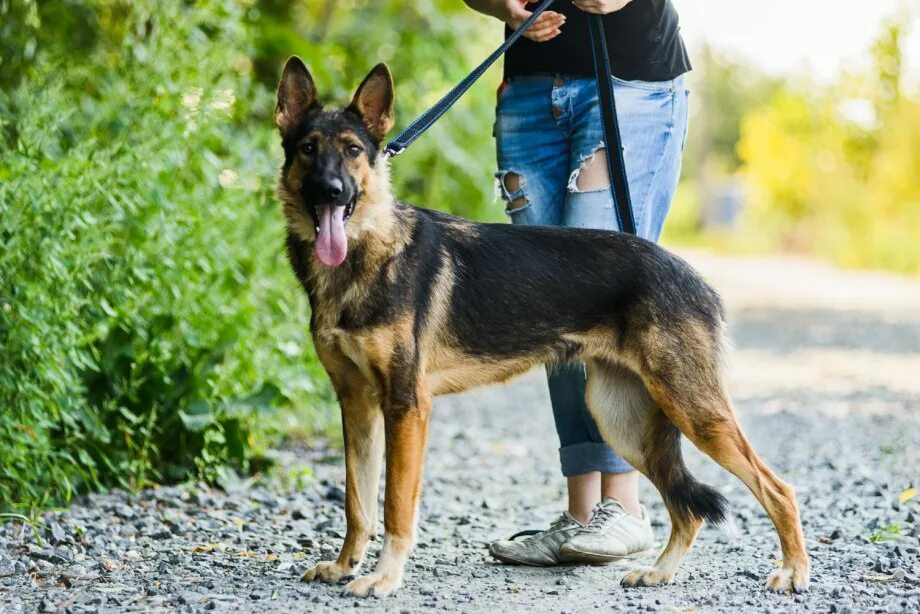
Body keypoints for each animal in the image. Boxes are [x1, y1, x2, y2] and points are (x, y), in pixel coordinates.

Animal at [276, 56, 808, 596]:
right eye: (307, 149)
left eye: (353, 150)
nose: (331, 192)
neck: (365, 251)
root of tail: (692, 276)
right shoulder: (357, 404)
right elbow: (357, 503)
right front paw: (344, 565)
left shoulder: (406, 407)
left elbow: (395, 507)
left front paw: (384, 577)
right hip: (624, 421)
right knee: (687, 509)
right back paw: (660, 571)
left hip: (694, 413)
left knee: (778, 489)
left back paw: (793, 571)